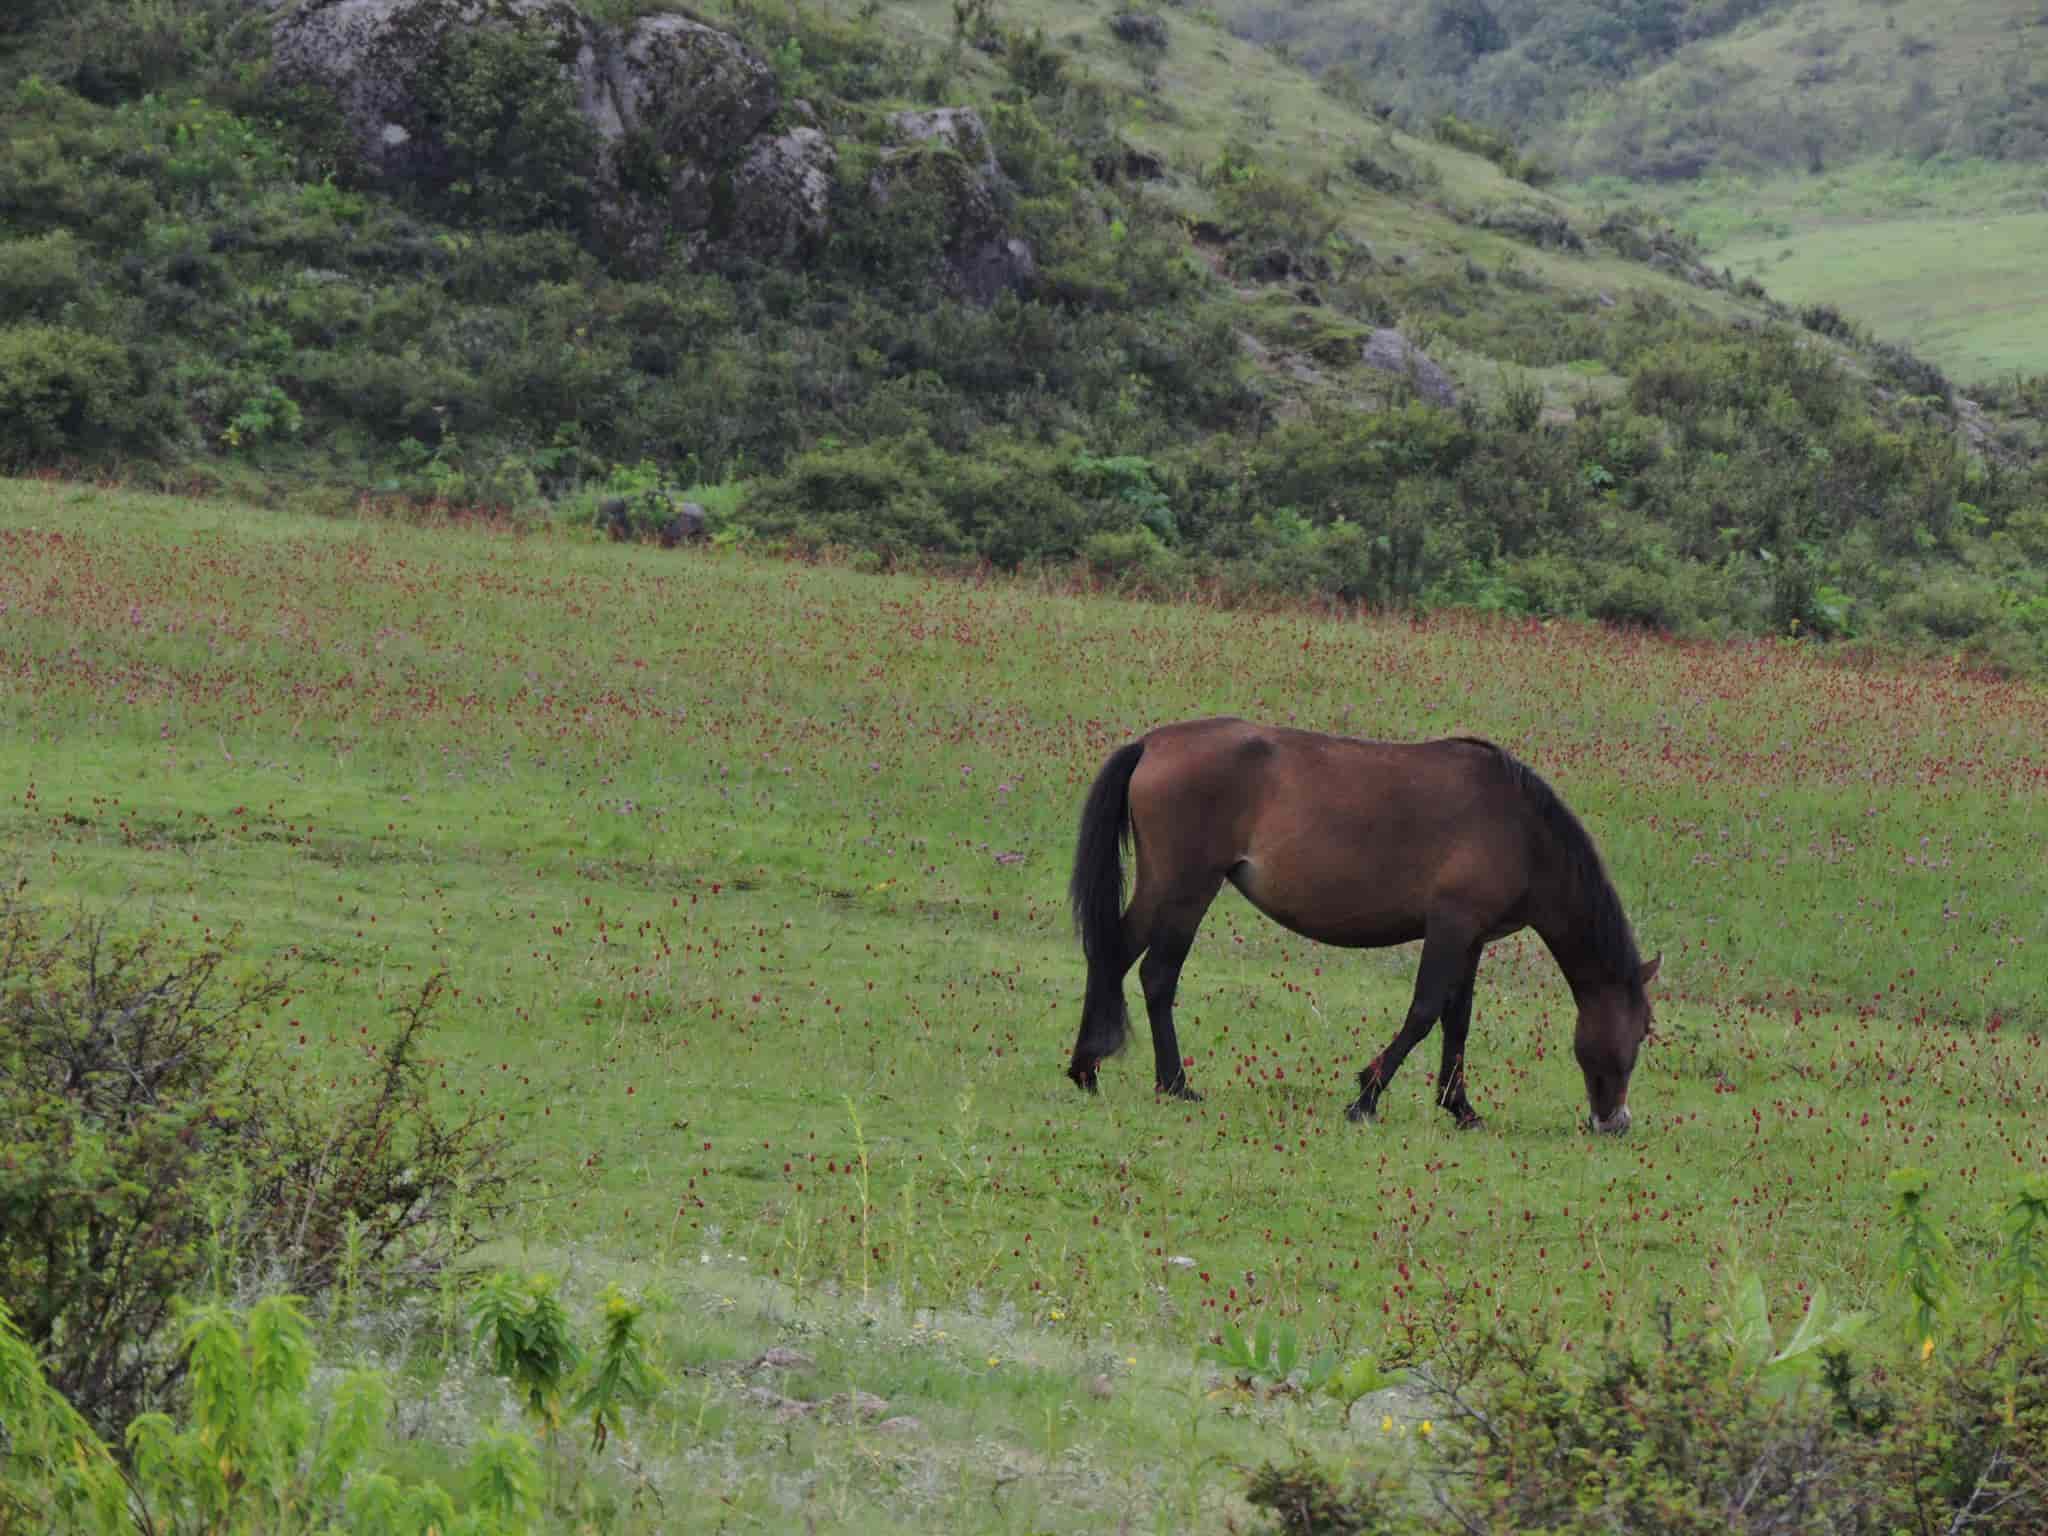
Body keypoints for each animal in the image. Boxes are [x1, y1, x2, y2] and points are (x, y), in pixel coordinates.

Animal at [1066, 718, 1660, 1133]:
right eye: (1636, 1035)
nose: (1615, 1123)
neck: (1521, 829)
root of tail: (1153, 744)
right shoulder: (1450, 927)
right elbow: (1424, 1012)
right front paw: (1366, 1097)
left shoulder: (1471, 939)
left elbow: (1457, 1020)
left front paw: (1460, 1106)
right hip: (1186, 888)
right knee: (1157, 976)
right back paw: (1174, 1083)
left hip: (1162, 888)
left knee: (1112, 955)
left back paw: (1086, 1069)